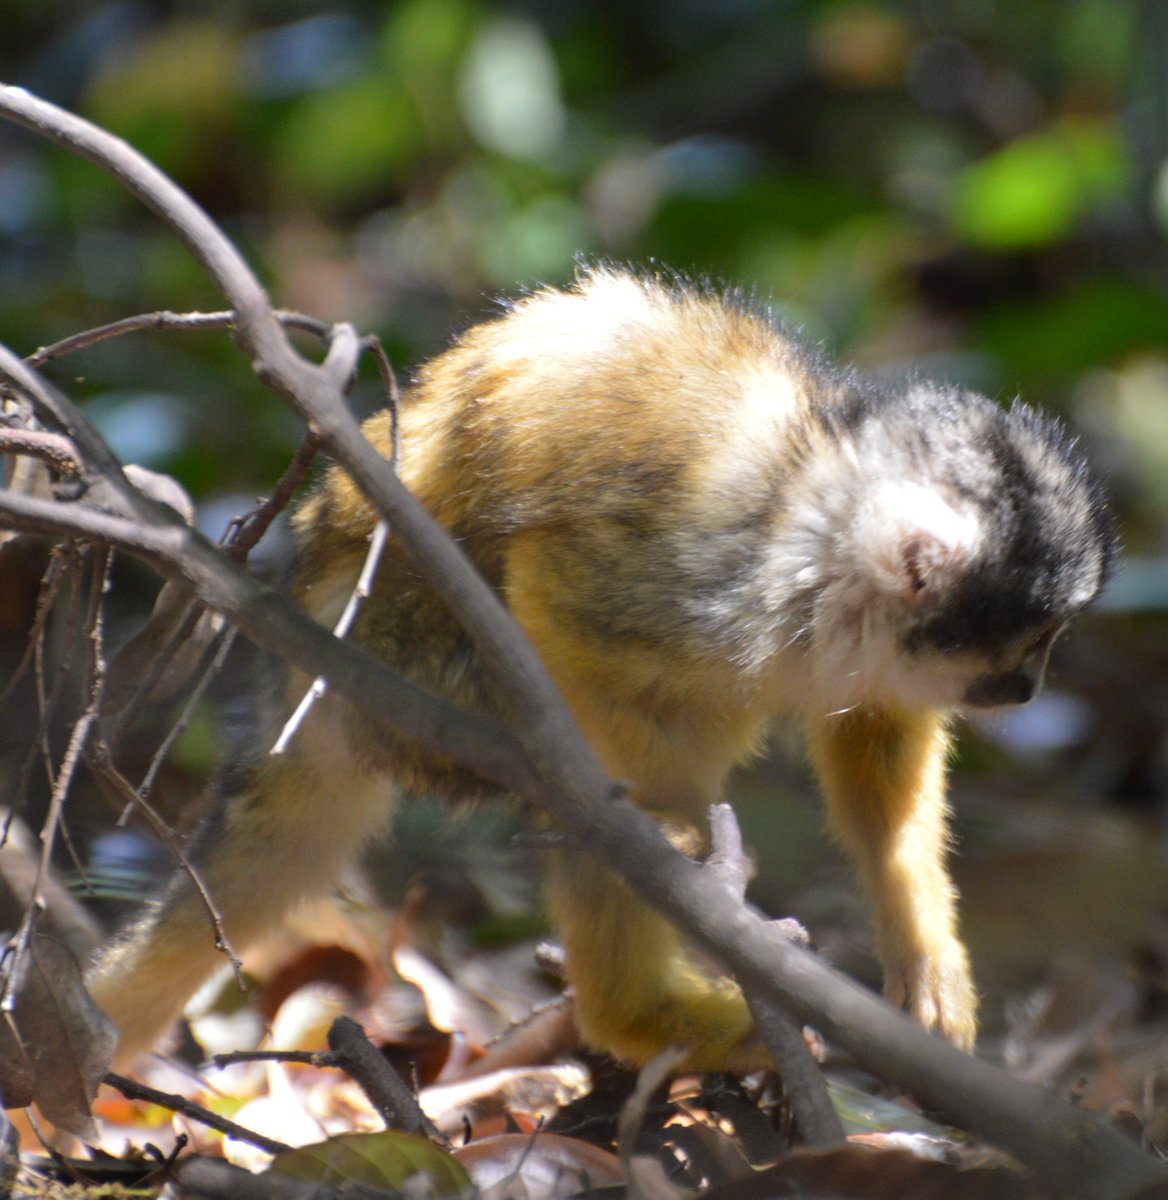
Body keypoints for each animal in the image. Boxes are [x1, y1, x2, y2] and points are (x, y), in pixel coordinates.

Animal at [88, 270, 1113, 1070]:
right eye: (1029, 643)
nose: (1030, 689)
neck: (814, 540)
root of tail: (295, 668)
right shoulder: (705, 574)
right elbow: (553, 603)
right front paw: (681, 826)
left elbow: (876, 742)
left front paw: (921, 949)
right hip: (391, 661)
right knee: (561, 747)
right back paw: (651, 969)